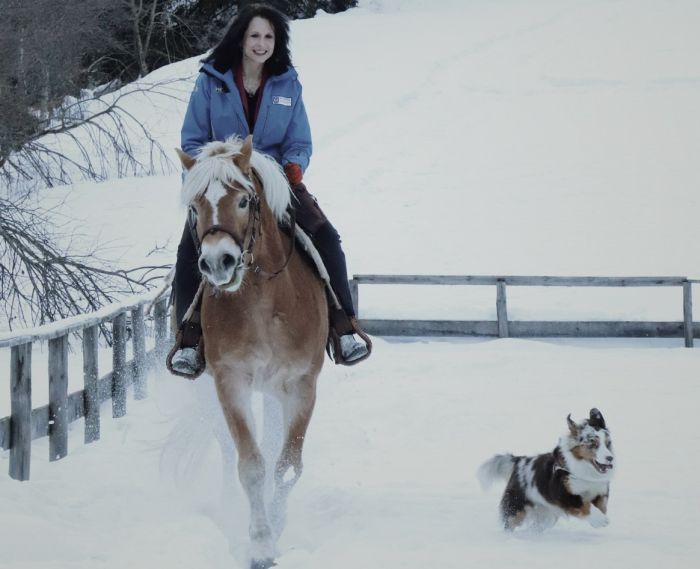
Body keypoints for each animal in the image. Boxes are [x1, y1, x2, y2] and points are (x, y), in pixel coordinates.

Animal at [175, 135, 328, 564]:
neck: (262, 299)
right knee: (228, 453)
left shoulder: (301, 386)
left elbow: (287, 465)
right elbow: (251, 464)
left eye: (244, 201)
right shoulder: (230, 382)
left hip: (276, 392)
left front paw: (276, 526)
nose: (217, 263)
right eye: (195, 207)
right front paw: (260, 541)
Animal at [478, 406, 616, 532]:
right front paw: (601, 520)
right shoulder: (563, 493)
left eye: (608, 443)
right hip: (516, 508)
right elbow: (584, 504)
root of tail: (519, 461)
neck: (585, 470)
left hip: (546, 516)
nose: (610, 458)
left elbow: (602, 506)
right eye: (593, 444)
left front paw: (597, 521)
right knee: (509, 523)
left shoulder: (601, 490)